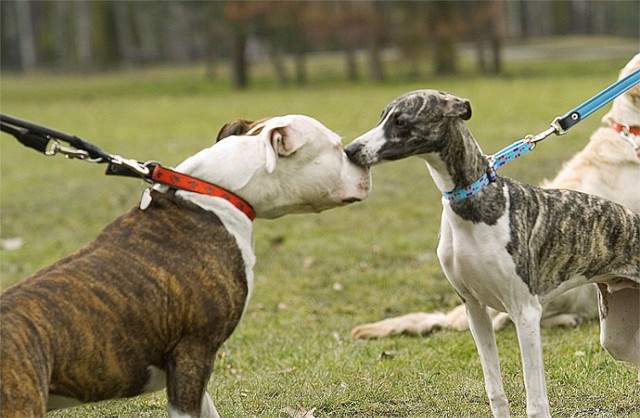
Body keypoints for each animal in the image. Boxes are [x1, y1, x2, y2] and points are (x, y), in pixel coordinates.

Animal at [344, 87, 640, 414]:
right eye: (382, 117)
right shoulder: (475, 309)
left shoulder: (525, 313)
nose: (350, 150)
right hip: (617, 336)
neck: (474, 199)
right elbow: (495, 390)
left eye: (401, 121)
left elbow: (536, 401)